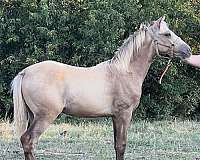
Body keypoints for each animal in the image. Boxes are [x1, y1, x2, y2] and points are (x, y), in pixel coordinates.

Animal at [12, 16, 191, 160]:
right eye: (167, 34)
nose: (188, 50)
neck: (125, 71)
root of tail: (25, 72)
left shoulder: (114, 117)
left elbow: (116, 145)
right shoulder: (124, 114)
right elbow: (122, 145)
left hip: (33, 116)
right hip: (45, 116)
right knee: (28, 141)